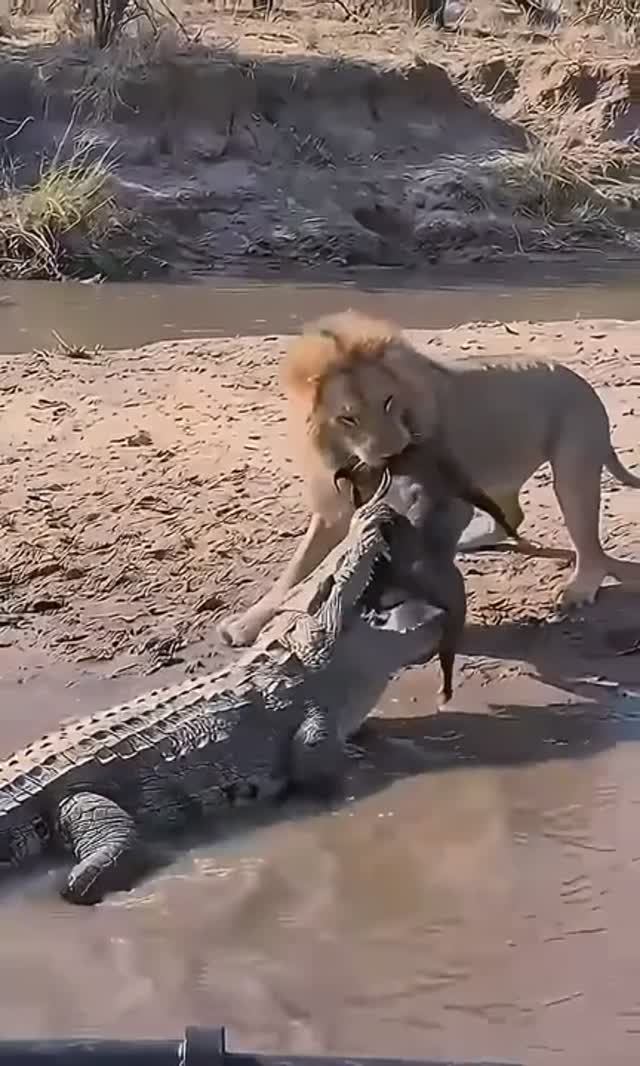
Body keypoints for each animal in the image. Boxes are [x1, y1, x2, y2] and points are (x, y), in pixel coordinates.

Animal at [218, 310, 640, 648]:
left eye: (388, 401)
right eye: (348, 418)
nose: (393, 453)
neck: (354, 460)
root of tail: (582, 382)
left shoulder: (445, 499)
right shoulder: (333, 511)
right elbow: (293, 573)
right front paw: (244, 626)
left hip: (572, 468)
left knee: (590, 547)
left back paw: (578, 590)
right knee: (512, 515)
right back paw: (477, 541)